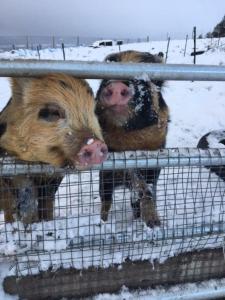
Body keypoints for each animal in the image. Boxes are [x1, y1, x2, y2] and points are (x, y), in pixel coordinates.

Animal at [95, 51, 169, 227]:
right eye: (105, 78)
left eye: (148, 81)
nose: (115, 85)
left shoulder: (153, 165)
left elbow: (146, 189)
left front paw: (155, 224)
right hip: (104, 179)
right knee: (106, 200)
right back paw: (102, 223)